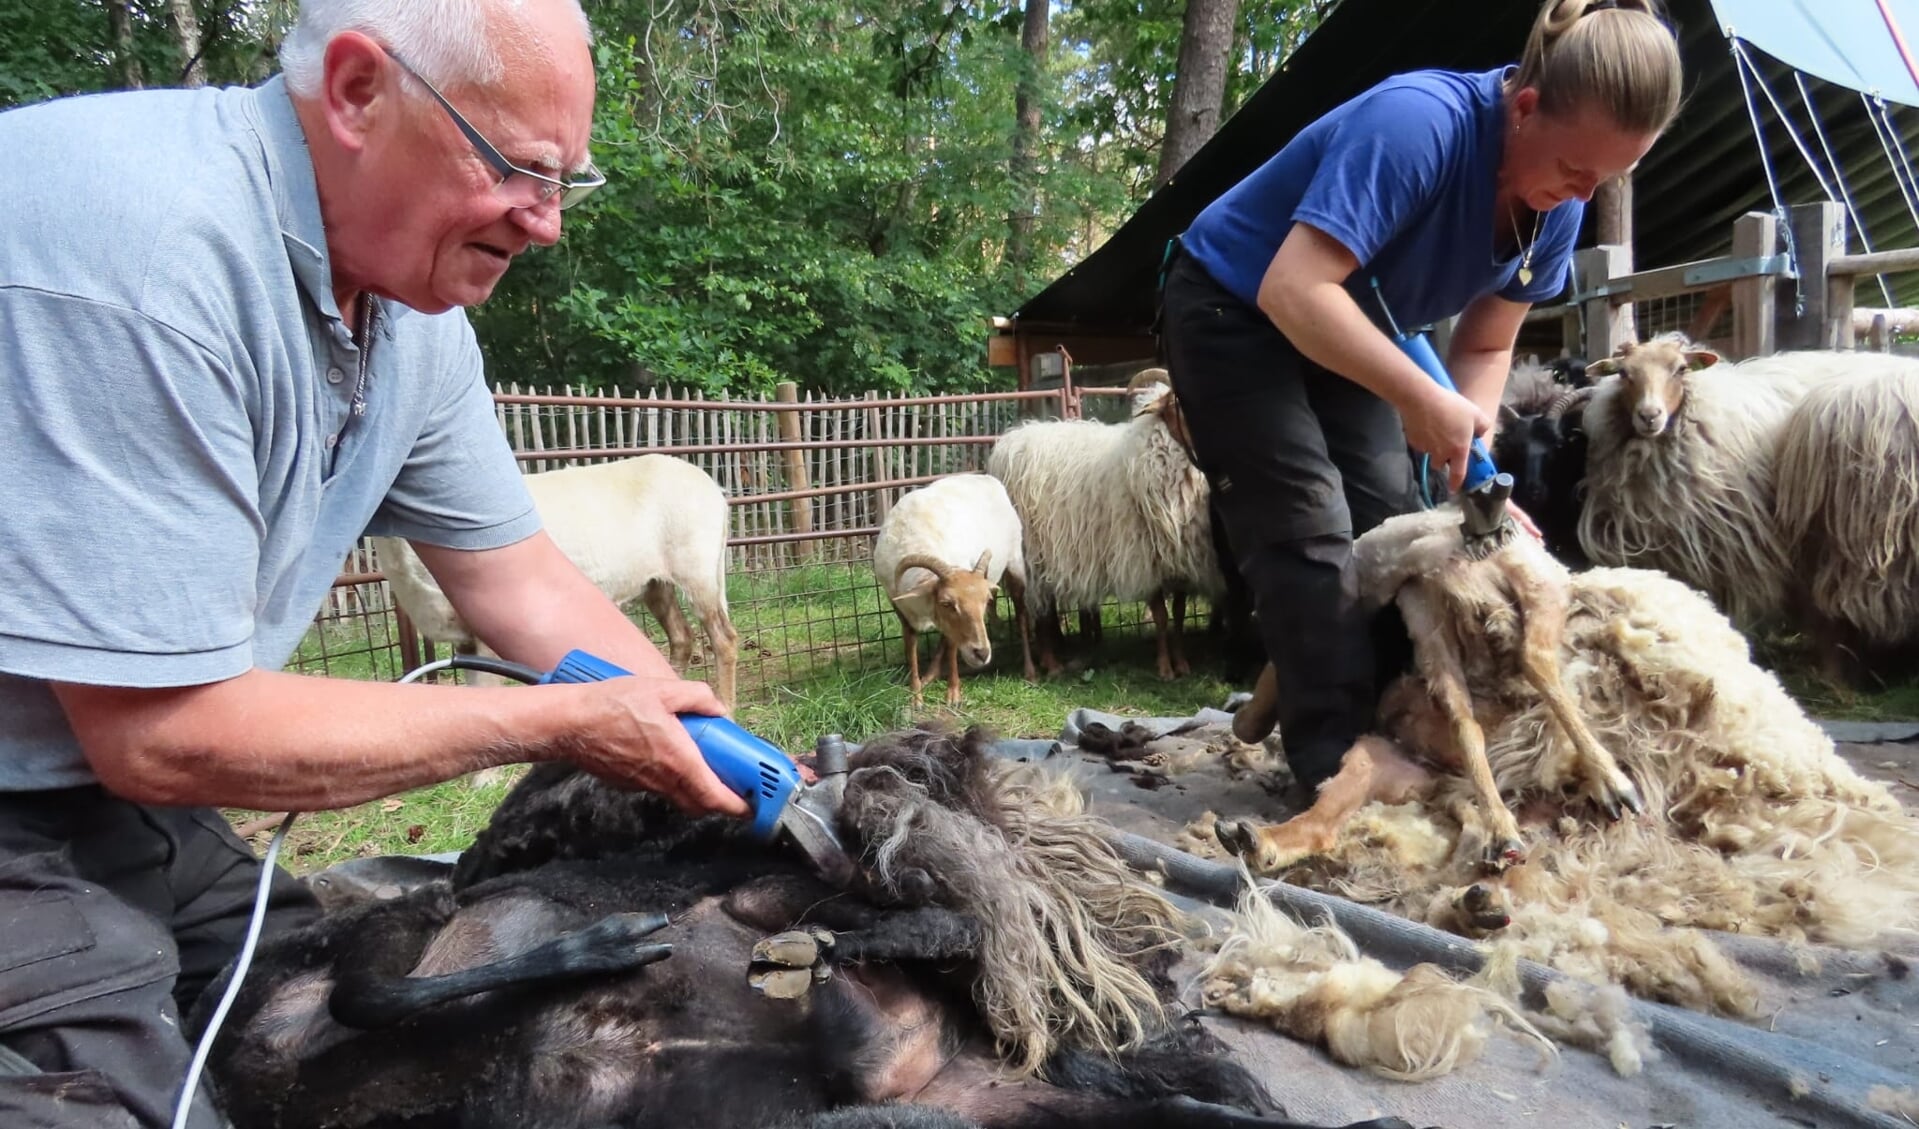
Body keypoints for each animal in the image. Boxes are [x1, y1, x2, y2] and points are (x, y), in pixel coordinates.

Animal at [374, 455, 740, 710]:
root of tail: (715, 490)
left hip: (697, 568)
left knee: (723, 638)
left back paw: (725, 707)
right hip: (655, 581)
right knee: (681, 636)